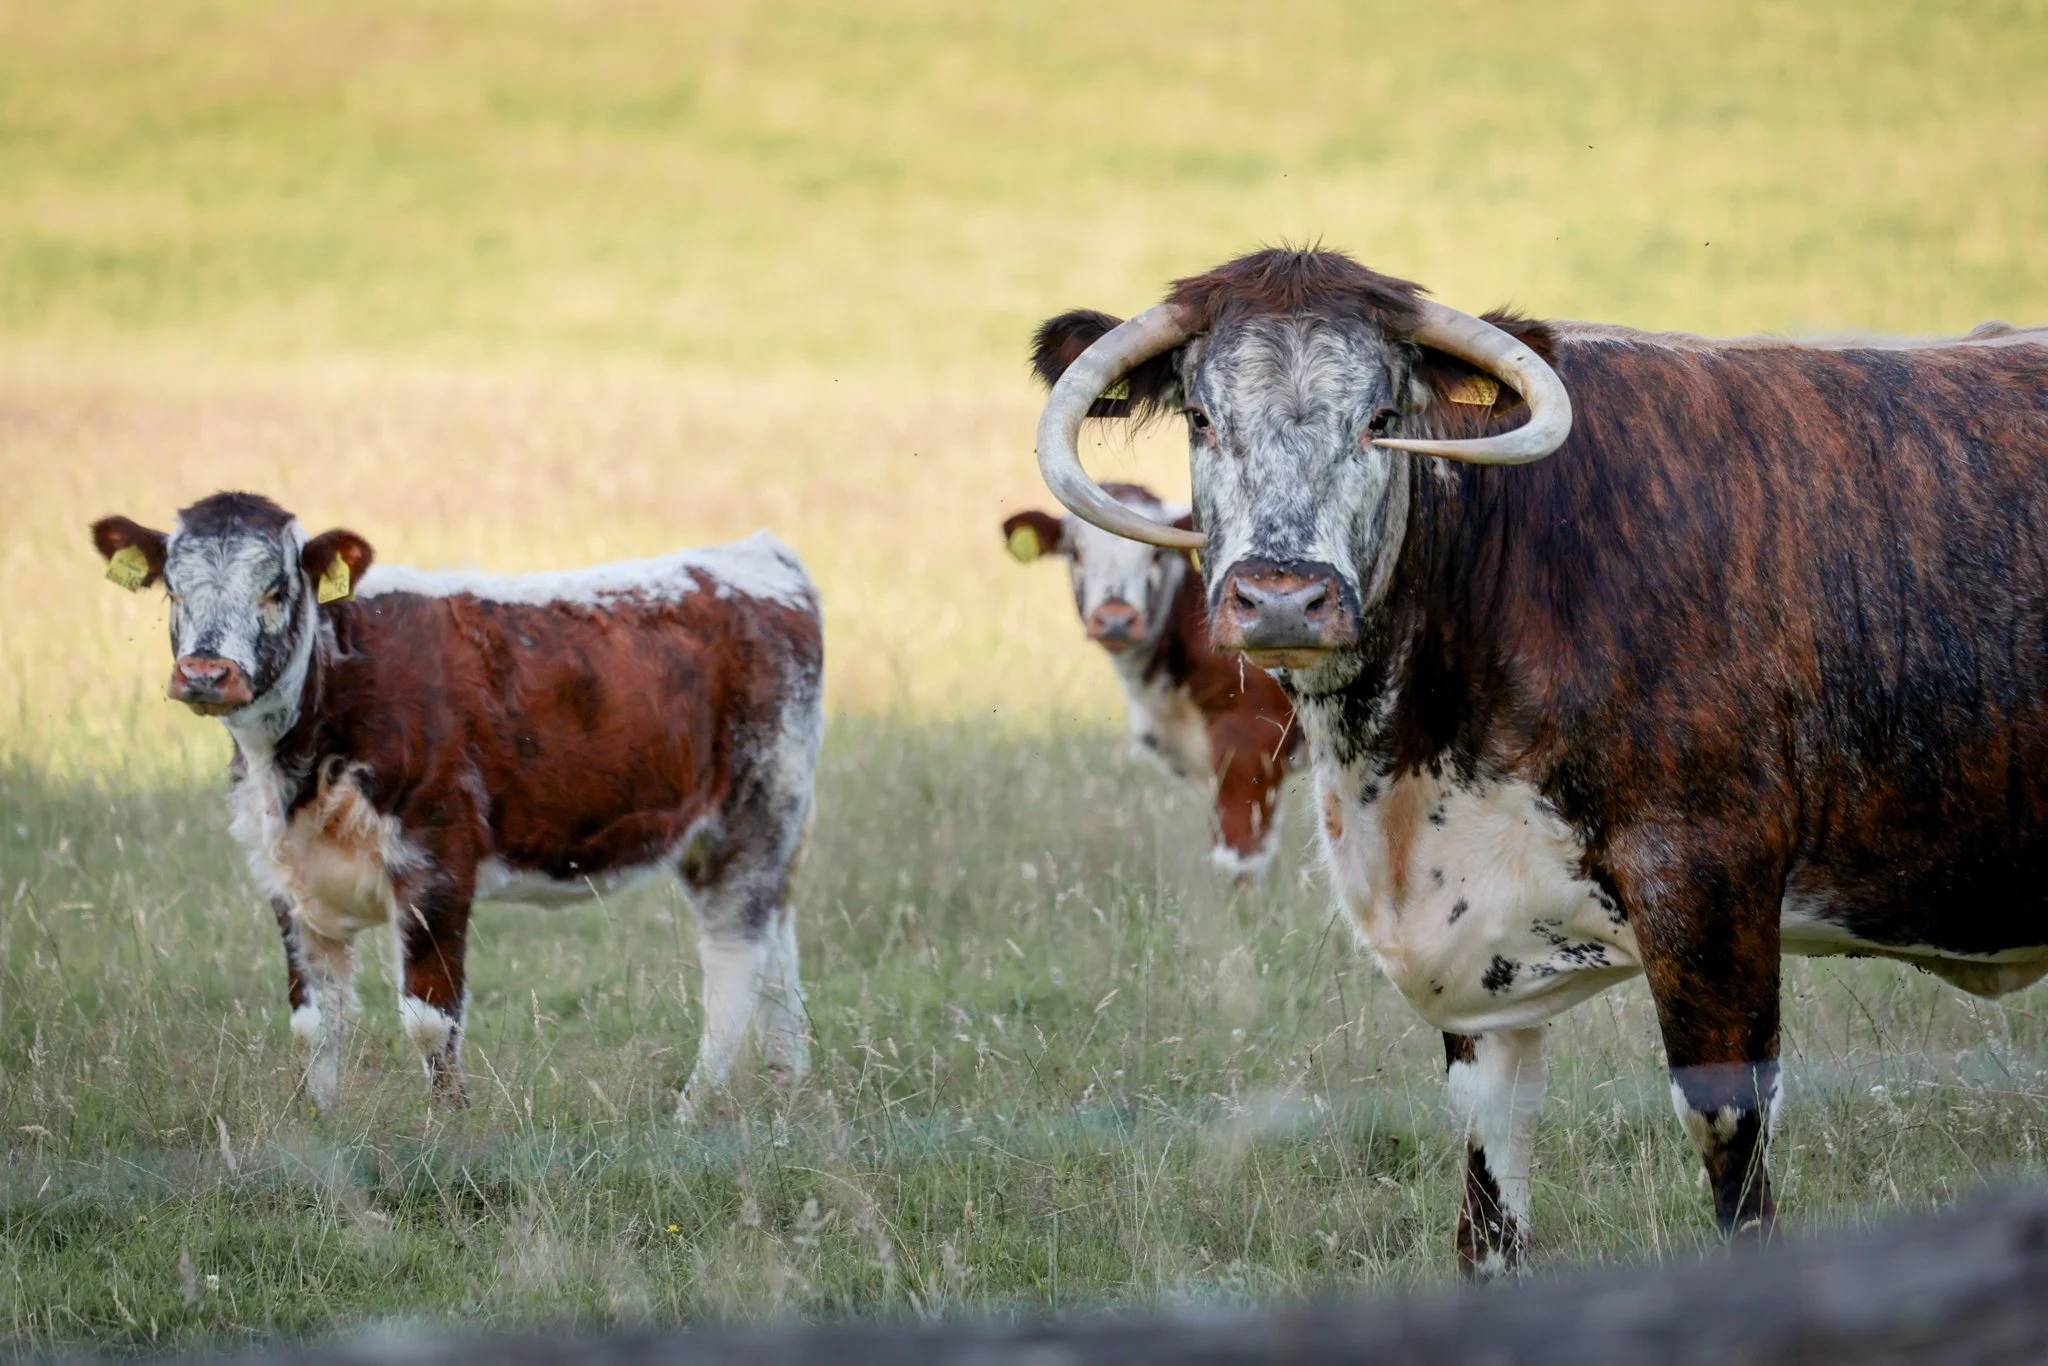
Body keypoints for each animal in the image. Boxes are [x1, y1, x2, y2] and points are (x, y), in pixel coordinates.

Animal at [91, 492, 823, 1120]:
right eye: (173, 590)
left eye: (276, 589)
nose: (206, 673)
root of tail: (756, 553)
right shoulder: (287, 880)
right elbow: (313, 1023)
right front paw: (316, 1127)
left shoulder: (435, 862)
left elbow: (428, 1019)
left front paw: (451, 1130)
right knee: (779, 947)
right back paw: (788, 1089)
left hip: (755, 810)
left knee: (735, 959)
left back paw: (692, 1111)